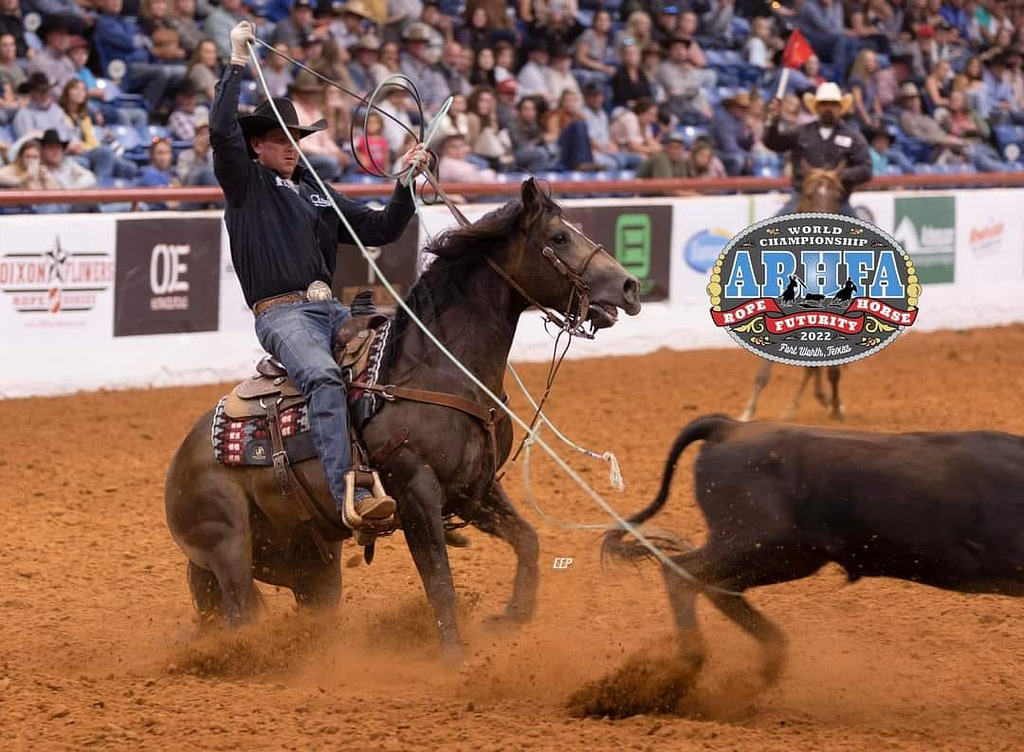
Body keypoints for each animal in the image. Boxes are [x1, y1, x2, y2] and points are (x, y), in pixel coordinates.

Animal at [165, 176, 638, 659]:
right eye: (559, 238)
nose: (630, 286)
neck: (442, 367)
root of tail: (183, 456)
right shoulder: (417, 493)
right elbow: (440, 583)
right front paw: (454, 657)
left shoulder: (474, 488)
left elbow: (528, 541)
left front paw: (510, 617)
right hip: (229, 546)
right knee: (240, 615)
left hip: (309, 564)